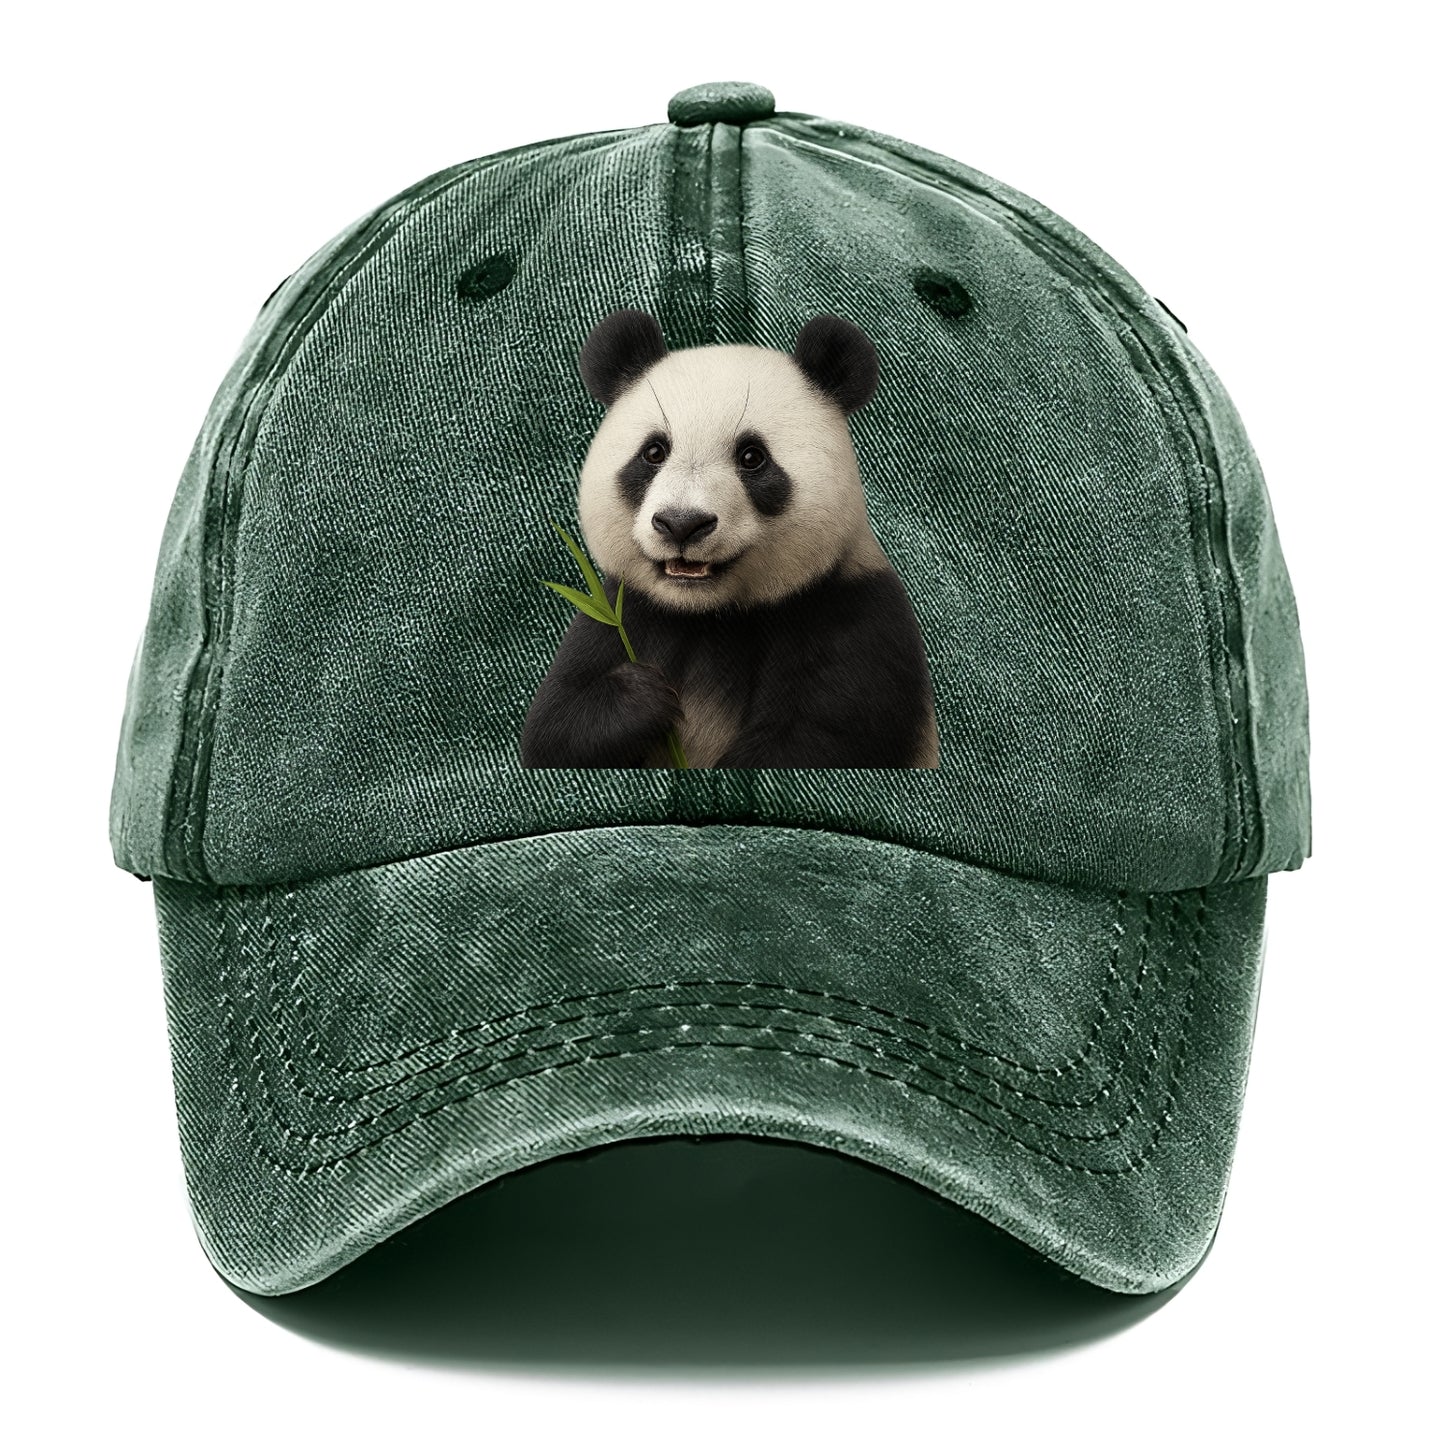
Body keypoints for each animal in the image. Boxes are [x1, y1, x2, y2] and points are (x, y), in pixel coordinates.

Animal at [520, 308, 940, 769]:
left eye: (752, 457)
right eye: (654, 452)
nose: (682, 523)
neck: (710, 614)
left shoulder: (853, 615)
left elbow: (814, 740)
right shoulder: (623, 611)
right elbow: (553, 727)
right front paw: (642, 696)